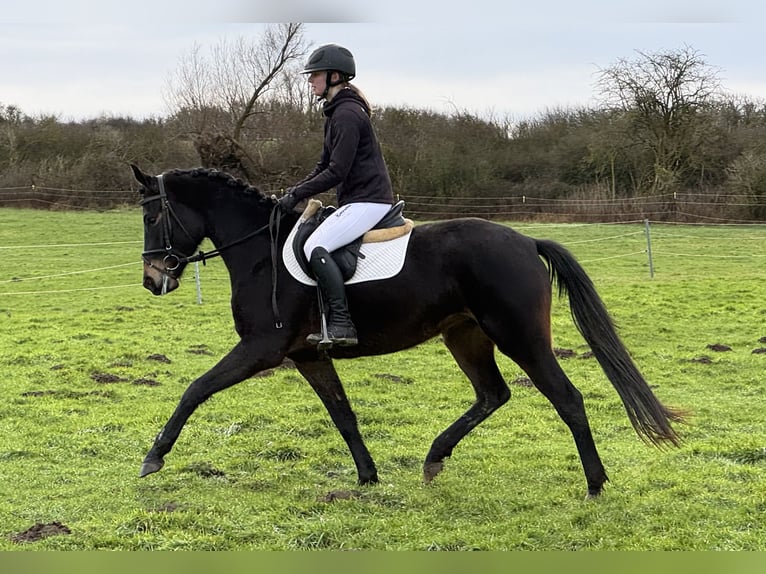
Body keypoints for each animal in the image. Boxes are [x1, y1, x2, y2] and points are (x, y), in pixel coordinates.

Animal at [129, 165, 688, 500]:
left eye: (153, 214)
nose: (154, 279)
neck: (260, 253)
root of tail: (527, 241)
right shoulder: (309, 356)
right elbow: (343, 415)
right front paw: (367, 477)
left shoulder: (260, 349)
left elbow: (195, 388)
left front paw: (154, 457)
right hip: (466, 336)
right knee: (492, 394)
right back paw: (435, 458)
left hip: (520, 337)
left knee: (566, 398)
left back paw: (594, 484)